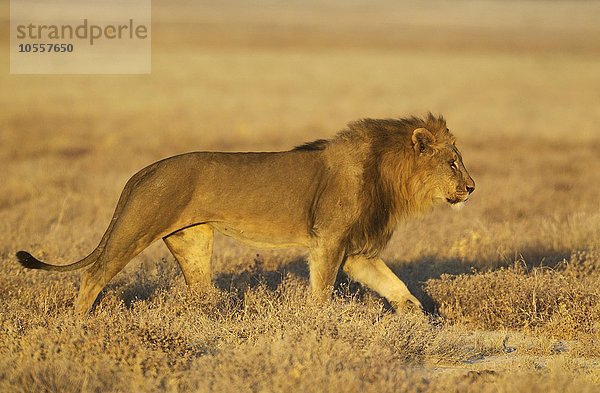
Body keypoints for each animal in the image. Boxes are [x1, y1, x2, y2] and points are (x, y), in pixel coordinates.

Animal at [15, 112, 474, 314]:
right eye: (453, 163)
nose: (471, 188)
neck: (389, 174)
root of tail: (143, 171)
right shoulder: (329, 241)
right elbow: (322, 291)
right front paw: (319, 324)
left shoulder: (357, 252)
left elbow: (397, 287)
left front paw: (419, 318)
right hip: (136, 227)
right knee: (94, 273)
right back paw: (79, 323)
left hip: (193, 240)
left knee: (200, 291)